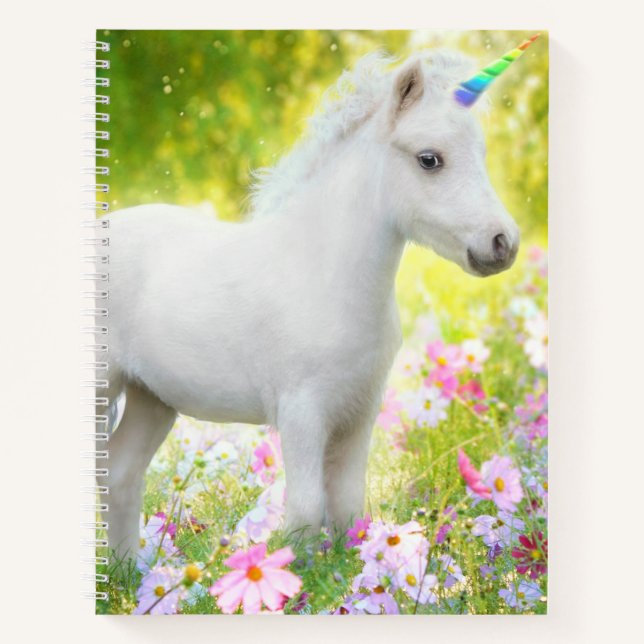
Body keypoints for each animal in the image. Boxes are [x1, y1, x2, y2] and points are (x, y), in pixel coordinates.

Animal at [100, 47, 525, 561]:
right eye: (430, 159)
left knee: (121, 474)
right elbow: (305, 511)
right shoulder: (302, 413)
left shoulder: (359, 412)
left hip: (152, 399)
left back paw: (128, 573)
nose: (503, 243)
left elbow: (346, 509)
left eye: (480, 155)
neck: (326, 276)